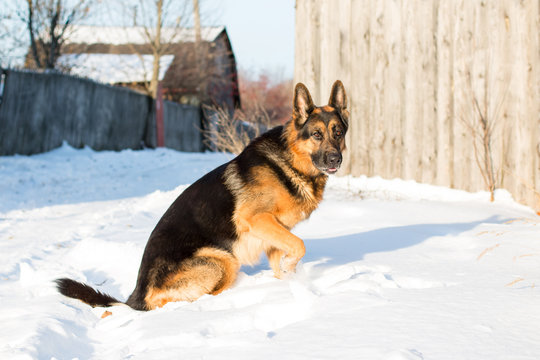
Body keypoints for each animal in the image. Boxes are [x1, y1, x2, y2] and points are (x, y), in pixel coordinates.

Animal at [56, 80, 350, 310]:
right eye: (316, 134)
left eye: (338, 133)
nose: (335, 159)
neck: (290, 163)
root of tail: (135, 296)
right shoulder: (257, 220)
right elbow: (300, 245)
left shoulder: (276, 234)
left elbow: (287, 258)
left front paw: (289, 281)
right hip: (223, 260)